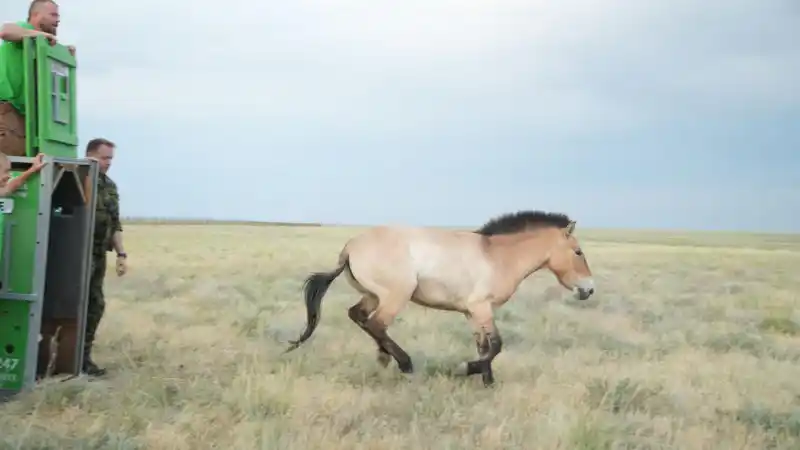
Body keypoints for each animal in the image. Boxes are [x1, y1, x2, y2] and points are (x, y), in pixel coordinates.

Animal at [283, 210, 595, 387]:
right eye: (578, 251)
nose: (589, 290)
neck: (497, 256)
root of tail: (350, 247)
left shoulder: (472, 313)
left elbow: (484, 347)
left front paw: (487, 383)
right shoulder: (482, 308)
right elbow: (496, 345)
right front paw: (466, 370)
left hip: (373, 295)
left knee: (359, 317)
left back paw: (384, 360)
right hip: (396, 295)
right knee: (376, 324)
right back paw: (404, 364)